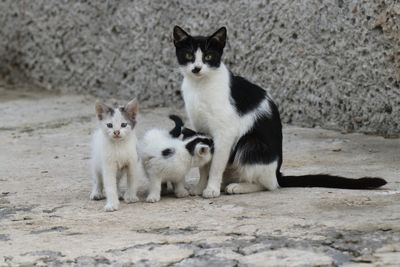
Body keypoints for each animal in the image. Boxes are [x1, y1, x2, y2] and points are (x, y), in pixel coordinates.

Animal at [173, 25, 388, 199]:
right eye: (189, 56)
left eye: (208, 57)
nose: (197, 68)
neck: (200, 87)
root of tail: (277, 171)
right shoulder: (201, 128)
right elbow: (204, 164)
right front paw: (200, 187)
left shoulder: (225, 132)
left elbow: (216, 164)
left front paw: (211, 189)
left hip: (250, 144)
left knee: (268, 184)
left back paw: (239, 187)